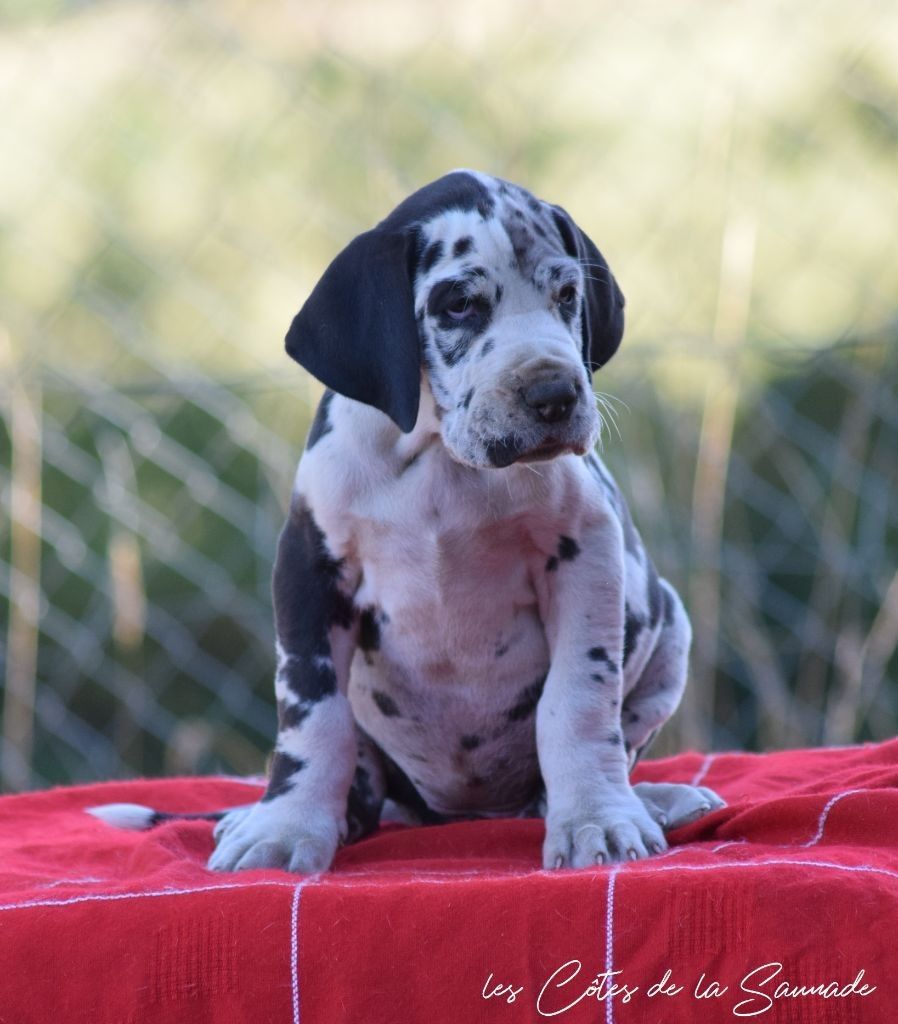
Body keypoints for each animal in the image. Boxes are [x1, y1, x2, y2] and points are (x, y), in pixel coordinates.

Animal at [90, 171, 723, 872]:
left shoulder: (586, 555)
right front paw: (283, 829)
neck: (439, 460)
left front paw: (596, 821)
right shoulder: (309, 566)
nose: (555, 394)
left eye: (567, 294)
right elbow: (313, 717)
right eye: (459, 305)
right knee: (360, 791)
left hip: (670, 631)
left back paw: (657, 800)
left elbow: (578, 703)